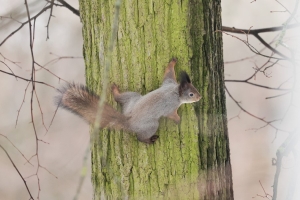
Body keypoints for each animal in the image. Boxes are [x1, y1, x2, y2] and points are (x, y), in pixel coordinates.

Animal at [56, 57, 202, 144]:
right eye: (191, 94)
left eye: (195, 87)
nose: (200, 97)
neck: (175, 92)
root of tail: (129, 120)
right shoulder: (170, 106)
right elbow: (171, 114)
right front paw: (178, 119)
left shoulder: (169, 82)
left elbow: (168, 73)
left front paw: (172, 62)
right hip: (151, 125)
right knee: (140, 138)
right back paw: (149, 140)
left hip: (132, 98)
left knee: (119, 98)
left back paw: (115, 91)